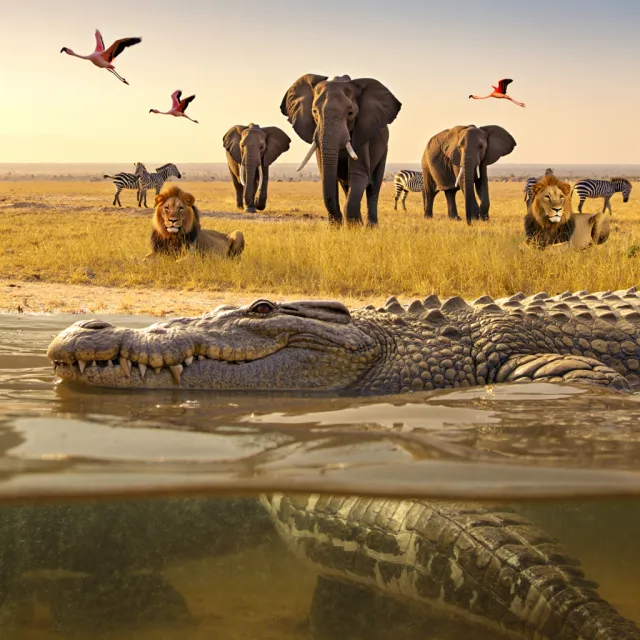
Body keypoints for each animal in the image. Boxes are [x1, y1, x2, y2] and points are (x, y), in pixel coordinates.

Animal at [281, 74, 402, 226]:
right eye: (314, 112)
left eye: (350, 113)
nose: (337, 221)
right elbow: (327, 175)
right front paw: (338, 227)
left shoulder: (362, 132)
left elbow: (359, 173)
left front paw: (354, 227)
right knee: (347, 186)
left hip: (384, 149)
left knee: (373, 188)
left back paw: (370, 226)